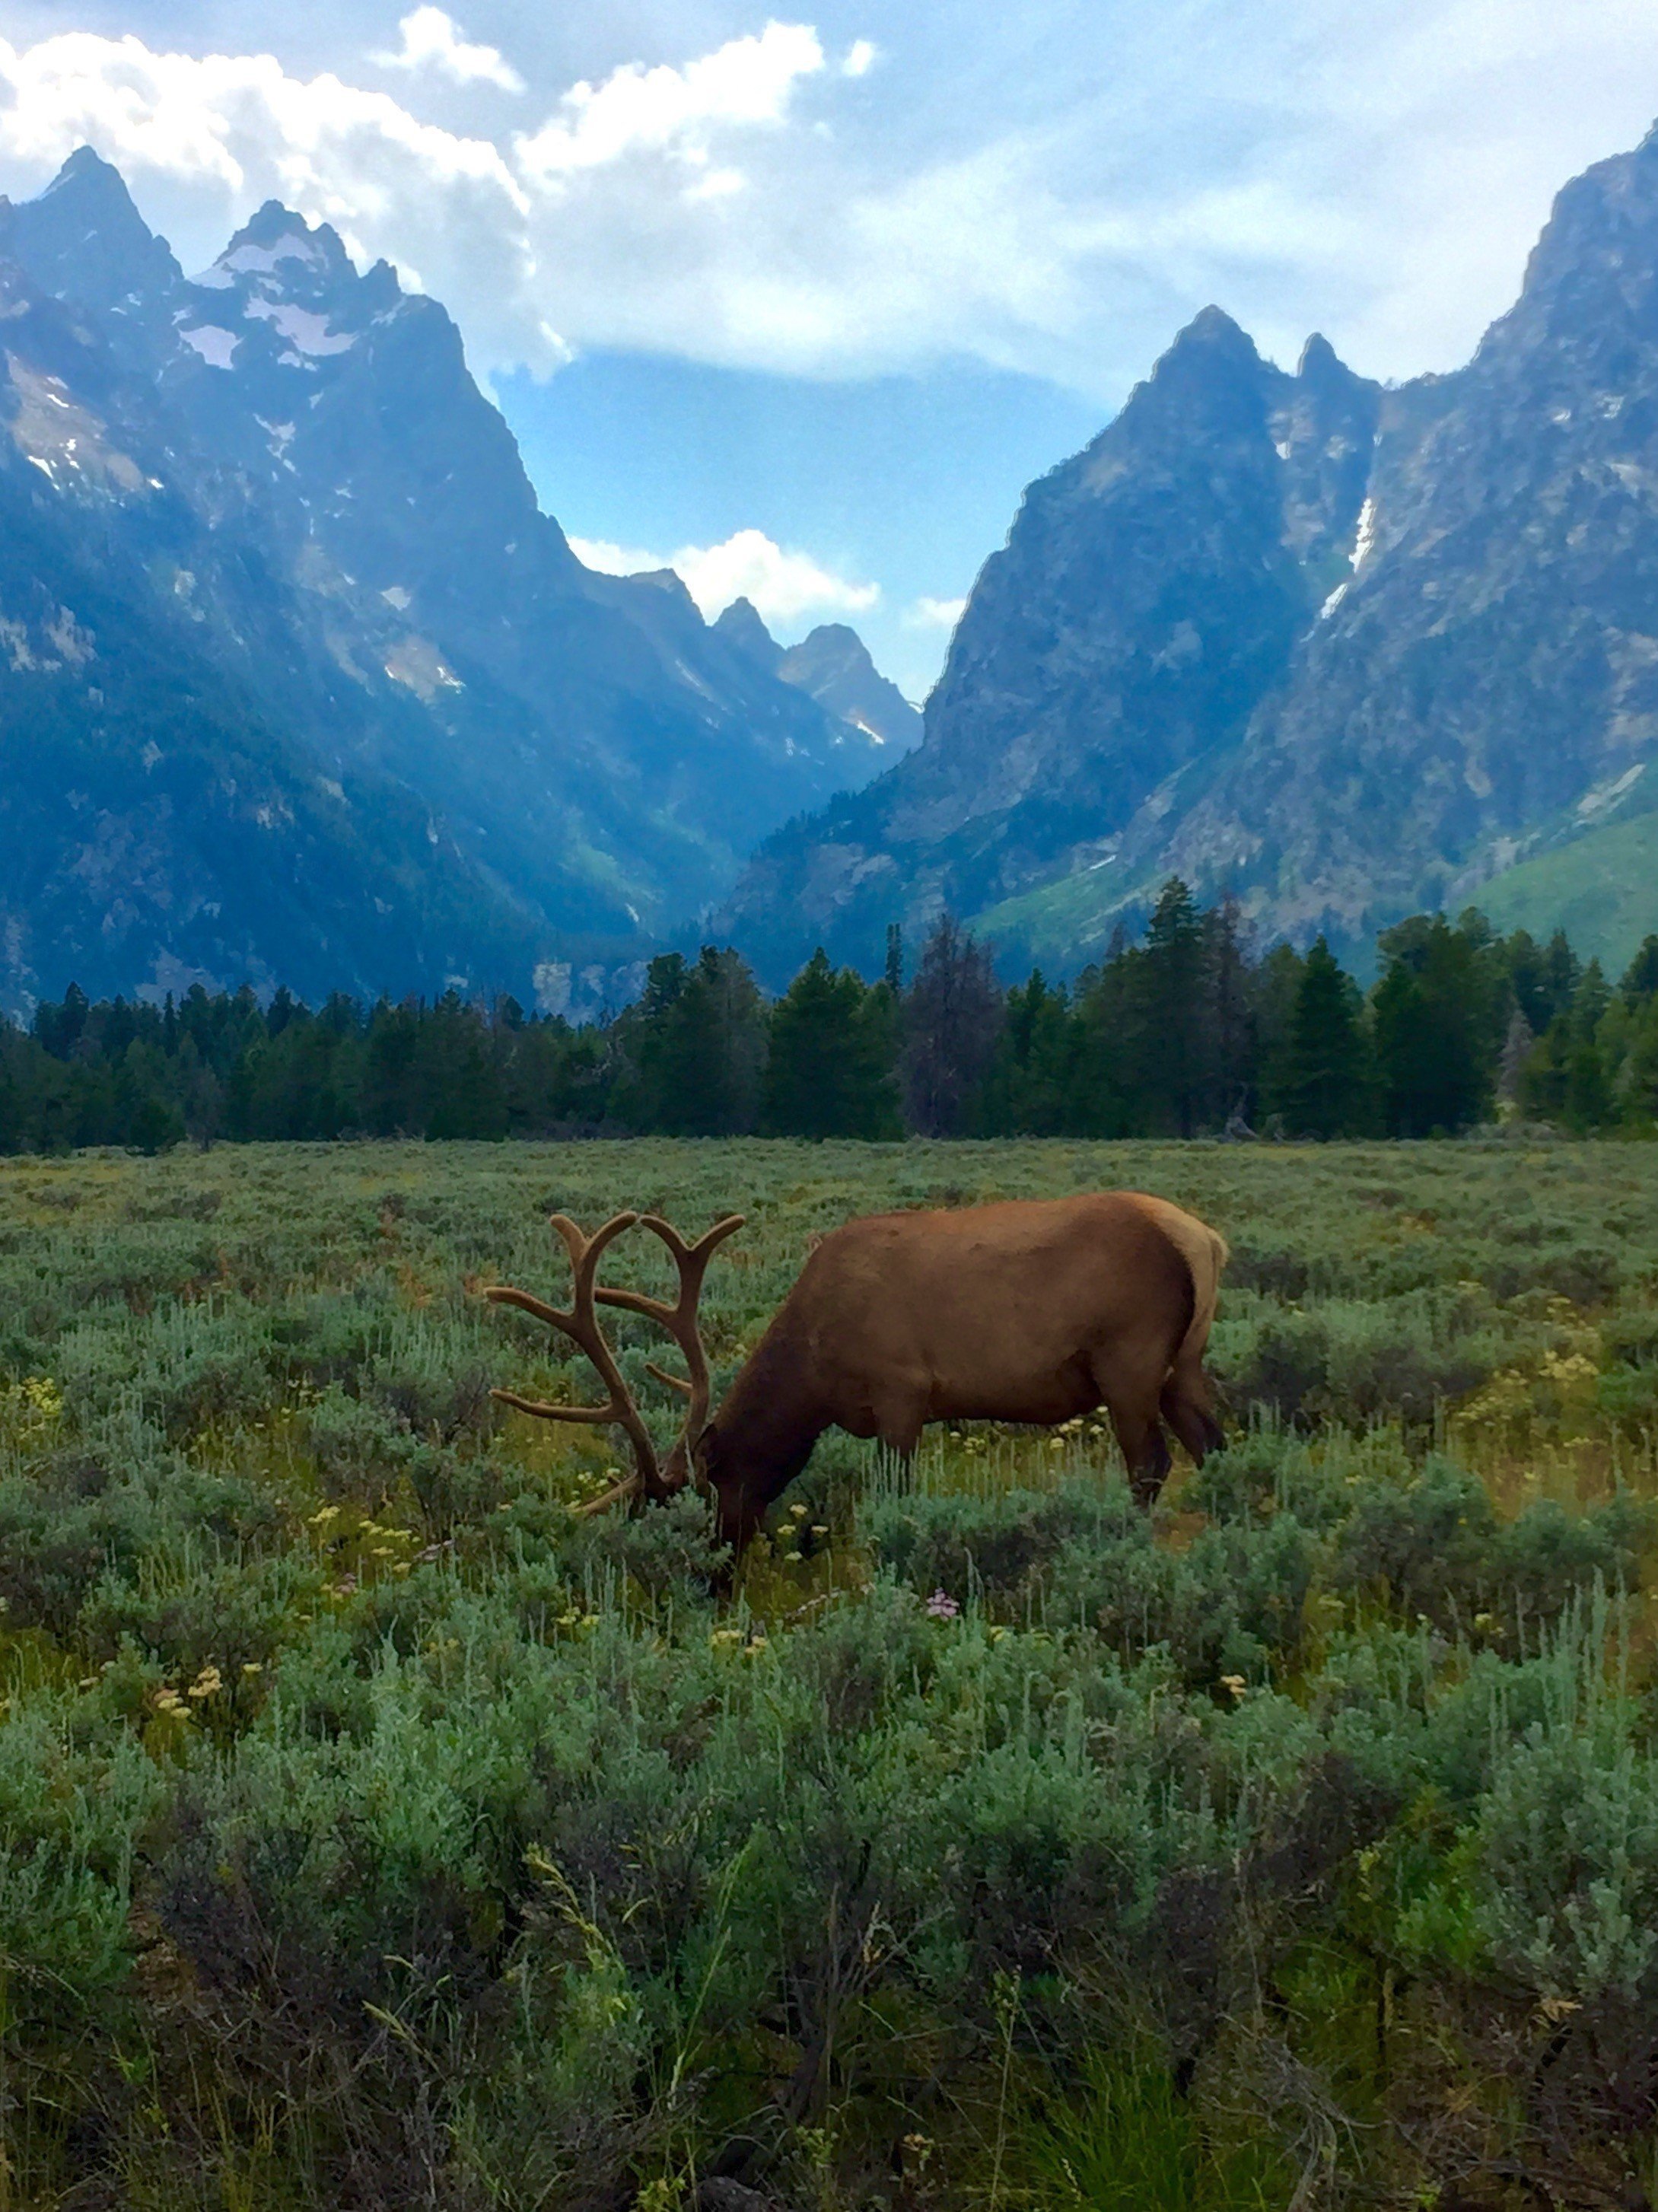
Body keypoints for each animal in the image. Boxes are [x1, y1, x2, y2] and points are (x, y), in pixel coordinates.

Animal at [486, 1194, 1229, 1557]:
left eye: (695, 1500)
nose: (710, 1581)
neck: (815, 1373)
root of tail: (1205, 1240)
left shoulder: (903, 1391)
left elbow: (895, 1497)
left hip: (1128, 1359)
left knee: (1151, 1463)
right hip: (1183, 1365)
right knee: (1214, 1448)